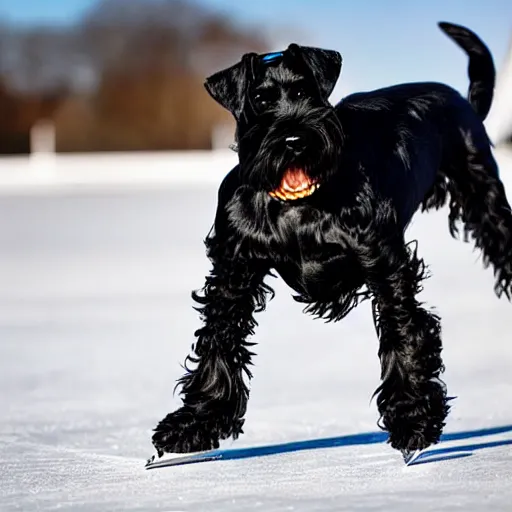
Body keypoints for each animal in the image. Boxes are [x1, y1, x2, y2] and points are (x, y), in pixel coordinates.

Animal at [151, 22, 512, 462]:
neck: (296, 204)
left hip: (484, 197)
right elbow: (219, 342)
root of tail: (460, 100)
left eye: (307, 92)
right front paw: (191, 425)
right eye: (261, 99)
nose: (294, 139)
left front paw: (413, 421)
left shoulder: (385, 265)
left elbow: (404, 332)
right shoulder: (234, 272)